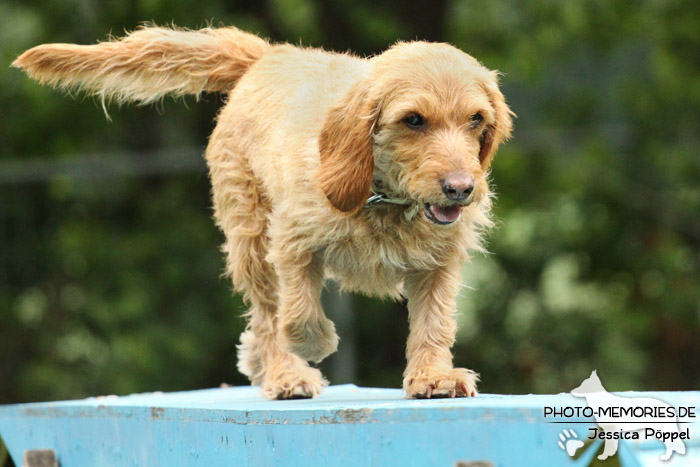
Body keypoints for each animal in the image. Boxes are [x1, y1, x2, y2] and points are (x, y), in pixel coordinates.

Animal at [12, 23, 516, 400]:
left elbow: (434, 321)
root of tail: (269, 56)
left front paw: (433, 376)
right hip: (250, 237)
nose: (461, 189)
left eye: (476, 120)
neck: (383, 196)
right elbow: (295, 313)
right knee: (267, 312)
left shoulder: (440, 263)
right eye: (413, 120)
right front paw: (314, 344)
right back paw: (283, 372)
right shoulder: (289, 242)